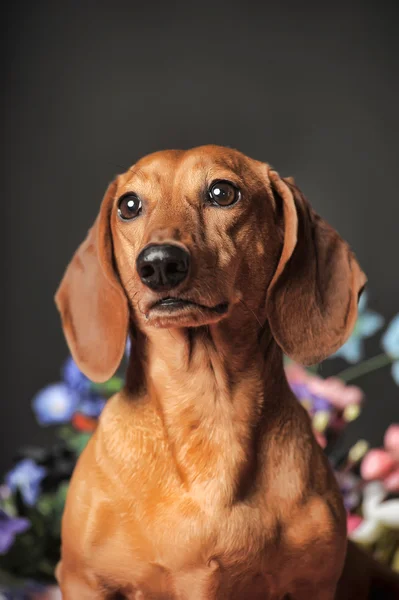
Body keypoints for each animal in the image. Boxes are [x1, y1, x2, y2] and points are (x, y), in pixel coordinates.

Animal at [54, 146, 399, 600]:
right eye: (128, 205)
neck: (209, 408)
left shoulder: (314, 584)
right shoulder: (83, 580)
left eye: (222, 192)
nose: (159, 263)